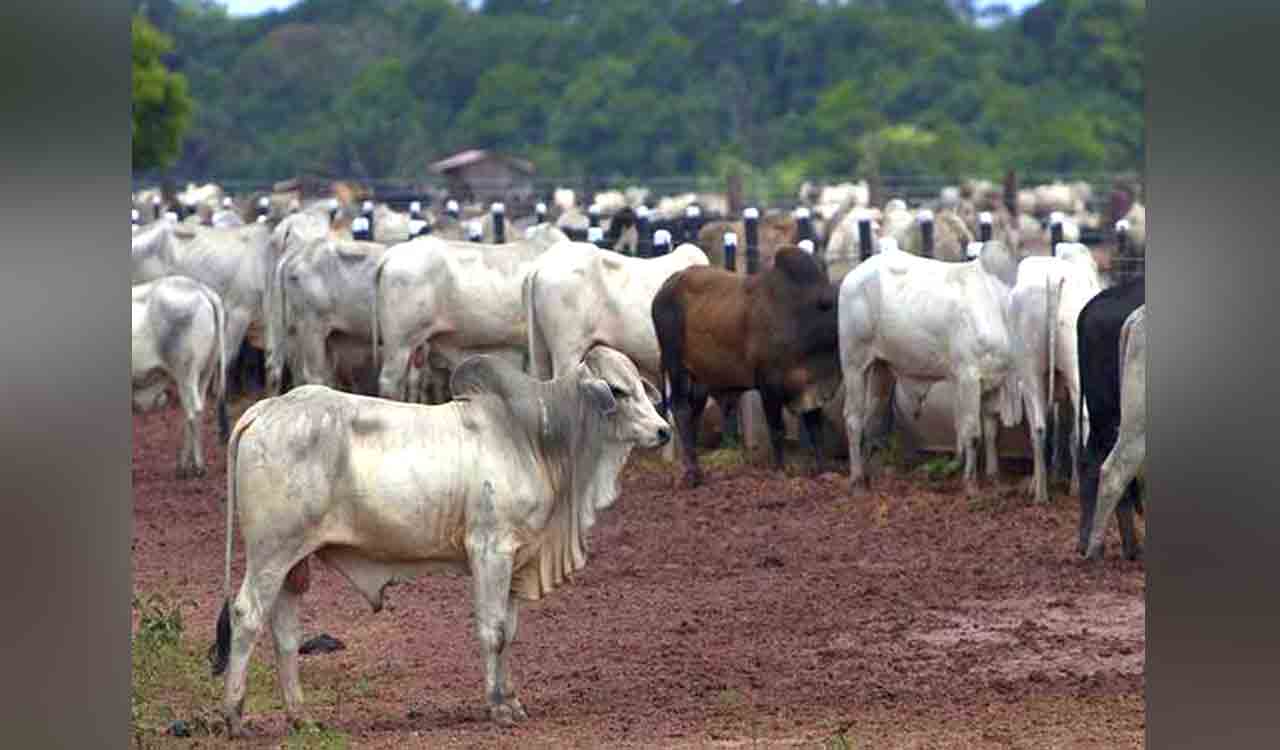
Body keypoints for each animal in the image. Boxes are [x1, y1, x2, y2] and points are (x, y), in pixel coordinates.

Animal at [131, 276, 229, 479]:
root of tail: (200, 289)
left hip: (186, 373)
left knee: (194, 410)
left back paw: (197, 466)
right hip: (203, 373)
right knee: (193, 411)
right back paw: (184, 464)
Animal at [208, 347, 671, 737]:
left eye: (640, 385)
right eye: (618, 390)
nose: (664, 430)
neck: (535, 438)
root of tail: (266, 408)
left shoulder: (516, 557)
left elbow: (510, 632)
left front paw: (512, 700)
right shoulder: (490, 550)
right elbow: (493, 630)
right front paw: (496, 706)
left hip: (294, 562)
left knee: (285, 632)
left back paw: (301, 717)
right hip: (271, 553)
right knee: (247, 616)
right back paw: (234, 717)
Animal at [652, 247, 841, 486]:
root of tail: (665, 287)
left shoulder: (811, 387)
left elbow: (816, 432)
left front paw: (824, 472)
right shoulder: (769, 386)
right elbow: (777, 430)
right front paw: (780, 471)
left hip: (700, 380)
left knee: (693, 415)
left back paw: (693, 470)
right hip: (676, 365)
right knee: (680, 409)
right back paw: (693, 474)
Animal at [838, 241, 1022, 497]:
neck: (999, 304)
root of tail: (854, 274)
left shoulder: (993, 382)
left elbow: (991, 432)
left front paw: (994, 478)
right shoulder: (968, 378)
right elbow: (972, 433)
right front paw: (971, 485)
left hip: (881, 368)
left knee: (871, 419)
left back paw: (870, 477)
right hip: (855, 364)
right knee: (853, 420)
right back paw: (856, 482)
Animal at [1008, 243, 1107, 503]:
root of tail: (1052, 278)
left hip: (1031, 371)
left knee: (1040, 427)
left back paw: (1041, 494)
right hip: (1073, 369)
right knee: (1079, 423)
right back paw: (1074, 487)